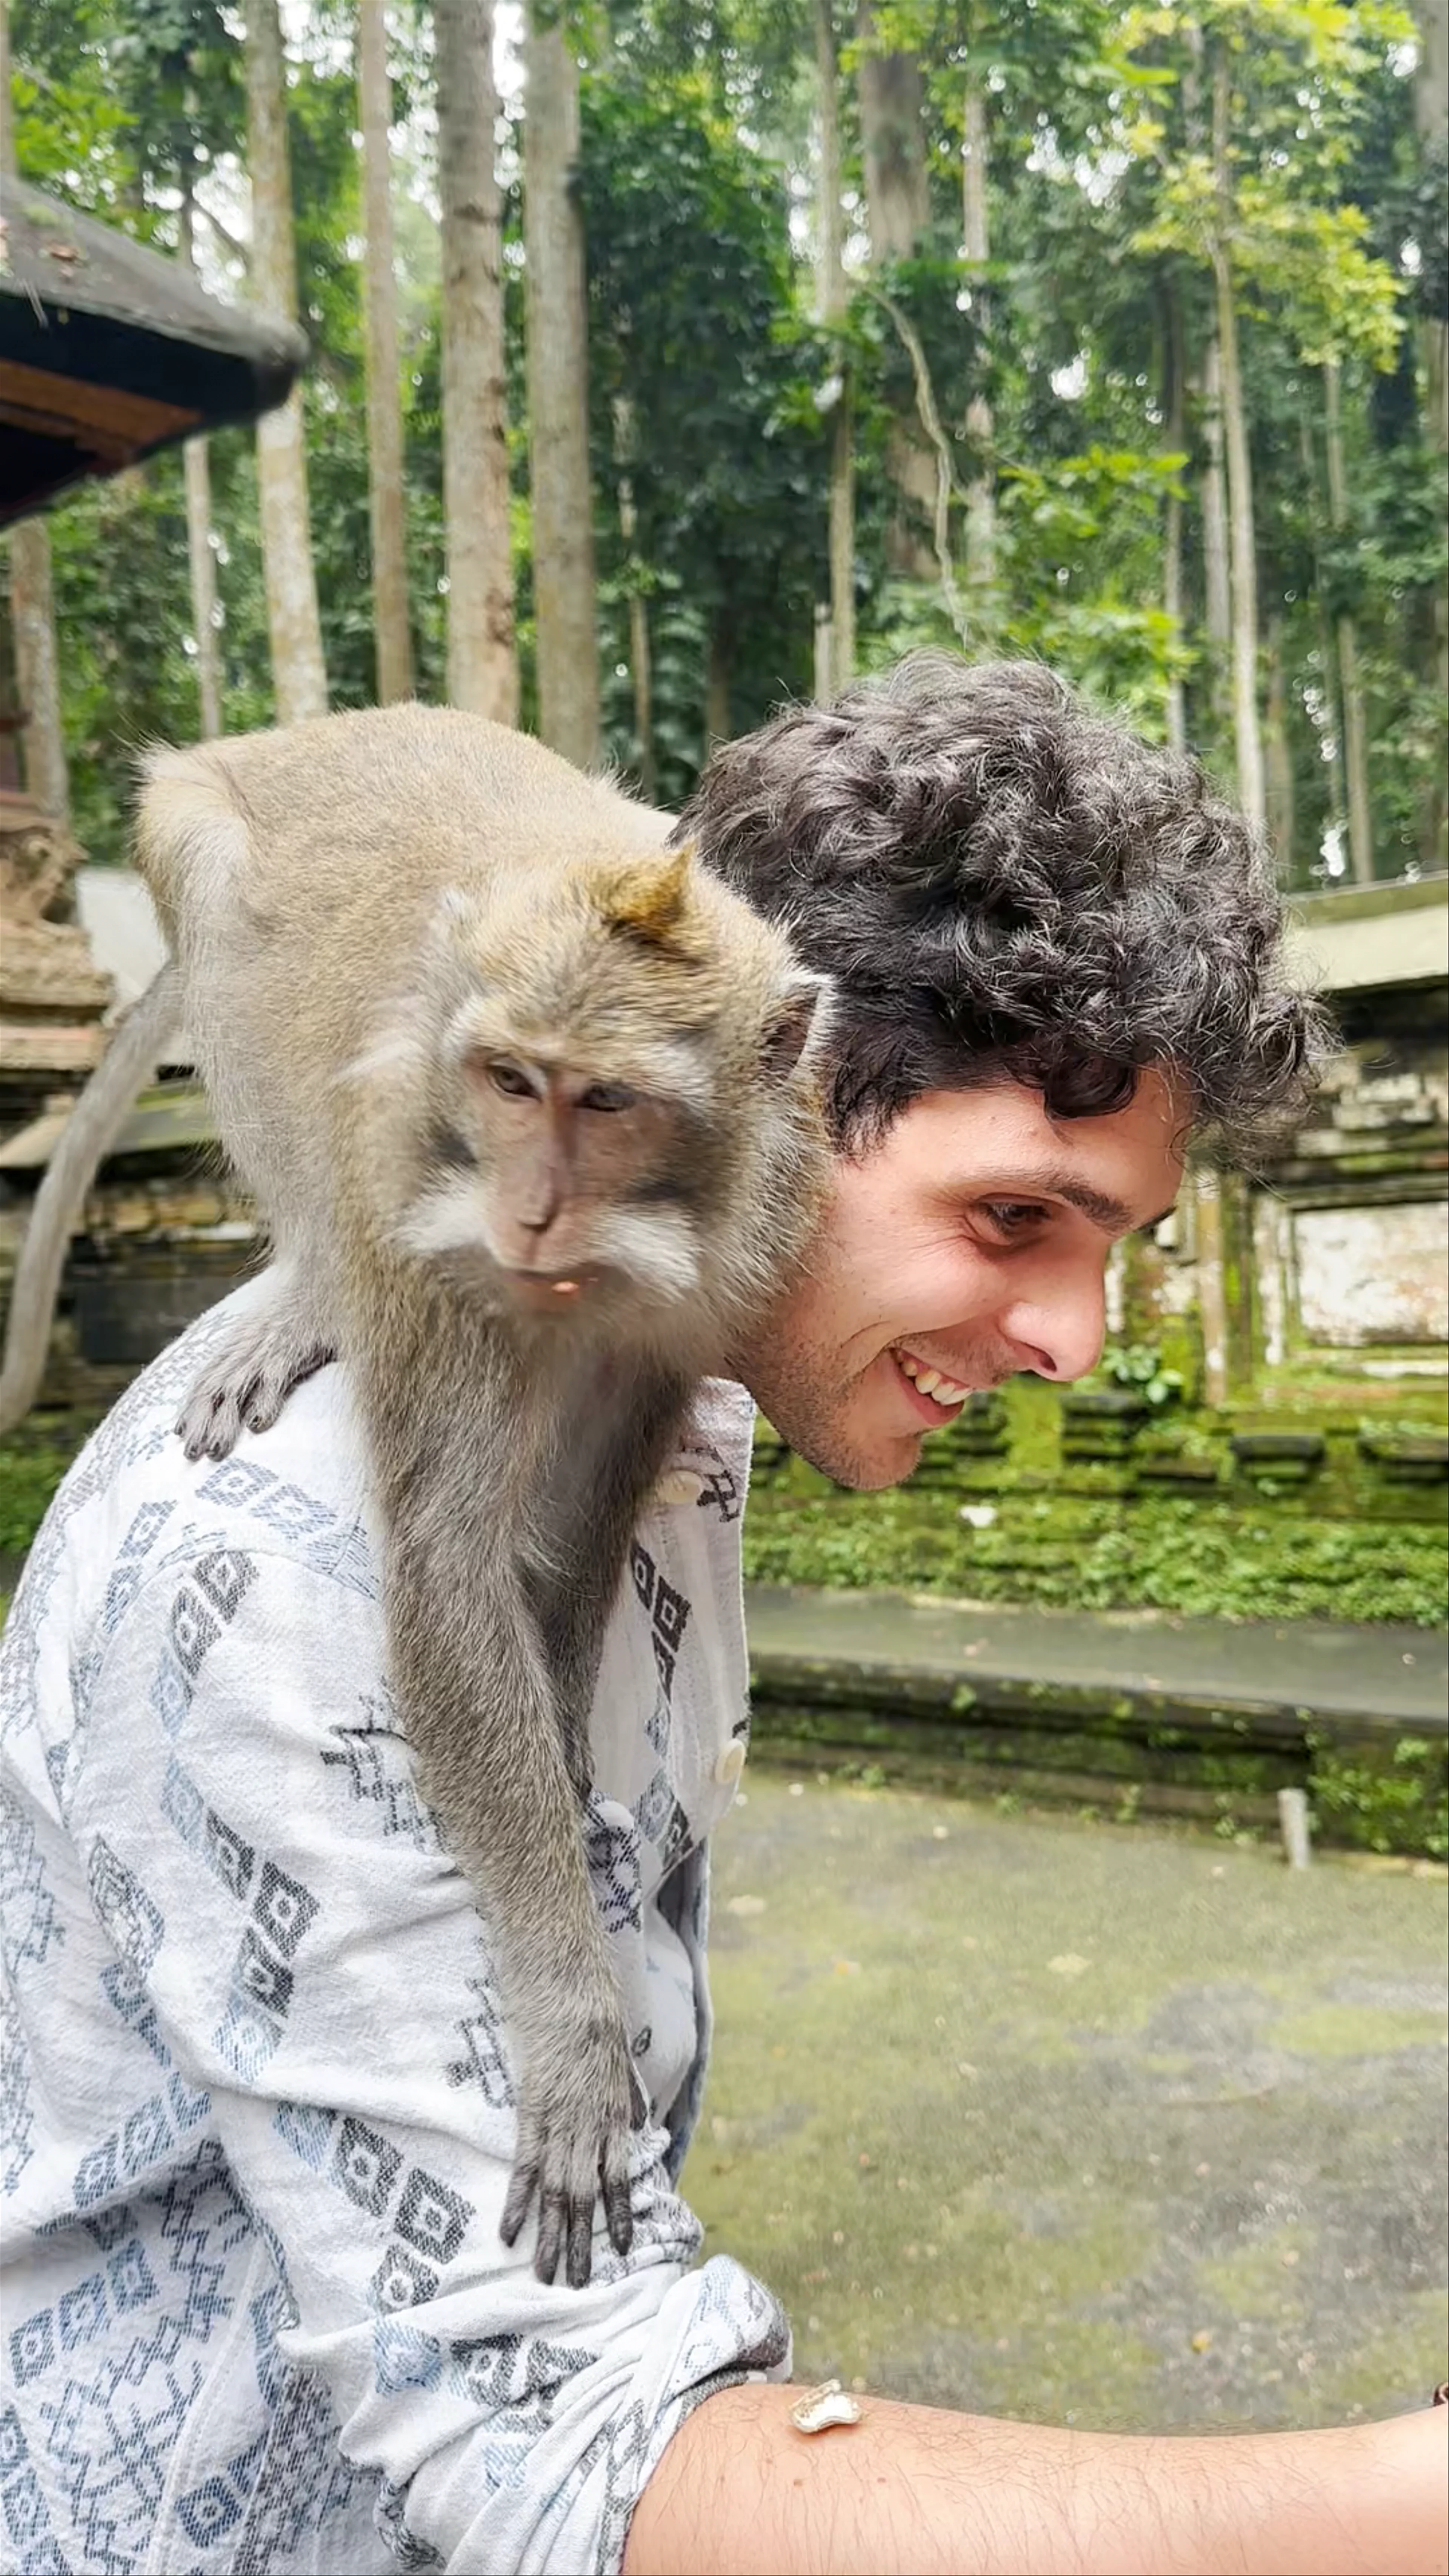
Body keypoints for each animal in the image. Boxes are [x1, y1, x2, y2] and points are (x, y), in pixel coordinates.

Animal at [130, 702, 829, 2290]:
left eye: (609, 1100)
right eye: (510, 1082)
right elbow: (449, 1566)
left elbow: (582, 1516)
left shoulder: (732, 1255)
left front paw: (560, 1734)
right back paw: (301, 1286)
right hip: (204, 854)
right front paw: (569, 2022)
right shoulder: (415, 1211)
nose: (528, 1210)